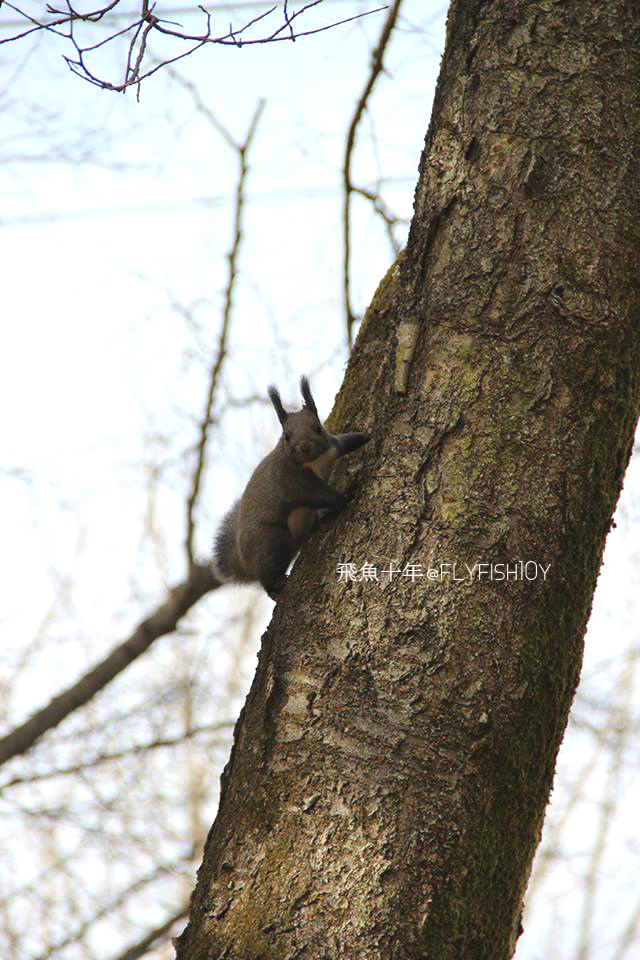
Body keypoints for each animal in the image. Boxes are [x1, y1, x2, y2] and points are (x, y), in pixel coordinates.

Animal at [212, 376, 368, 596]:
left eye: (317, 427)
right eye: (286, 436)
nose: (304, 446)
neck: (315, 461)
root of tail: (245, 561)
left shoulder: (332, 447)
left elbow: (345, 442)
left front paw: (364, 436)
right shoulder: (295, 482)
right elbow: (321, 495)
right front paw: (346, 495)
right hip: (271, 540)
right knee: (267, 577)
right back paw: (276, 586)